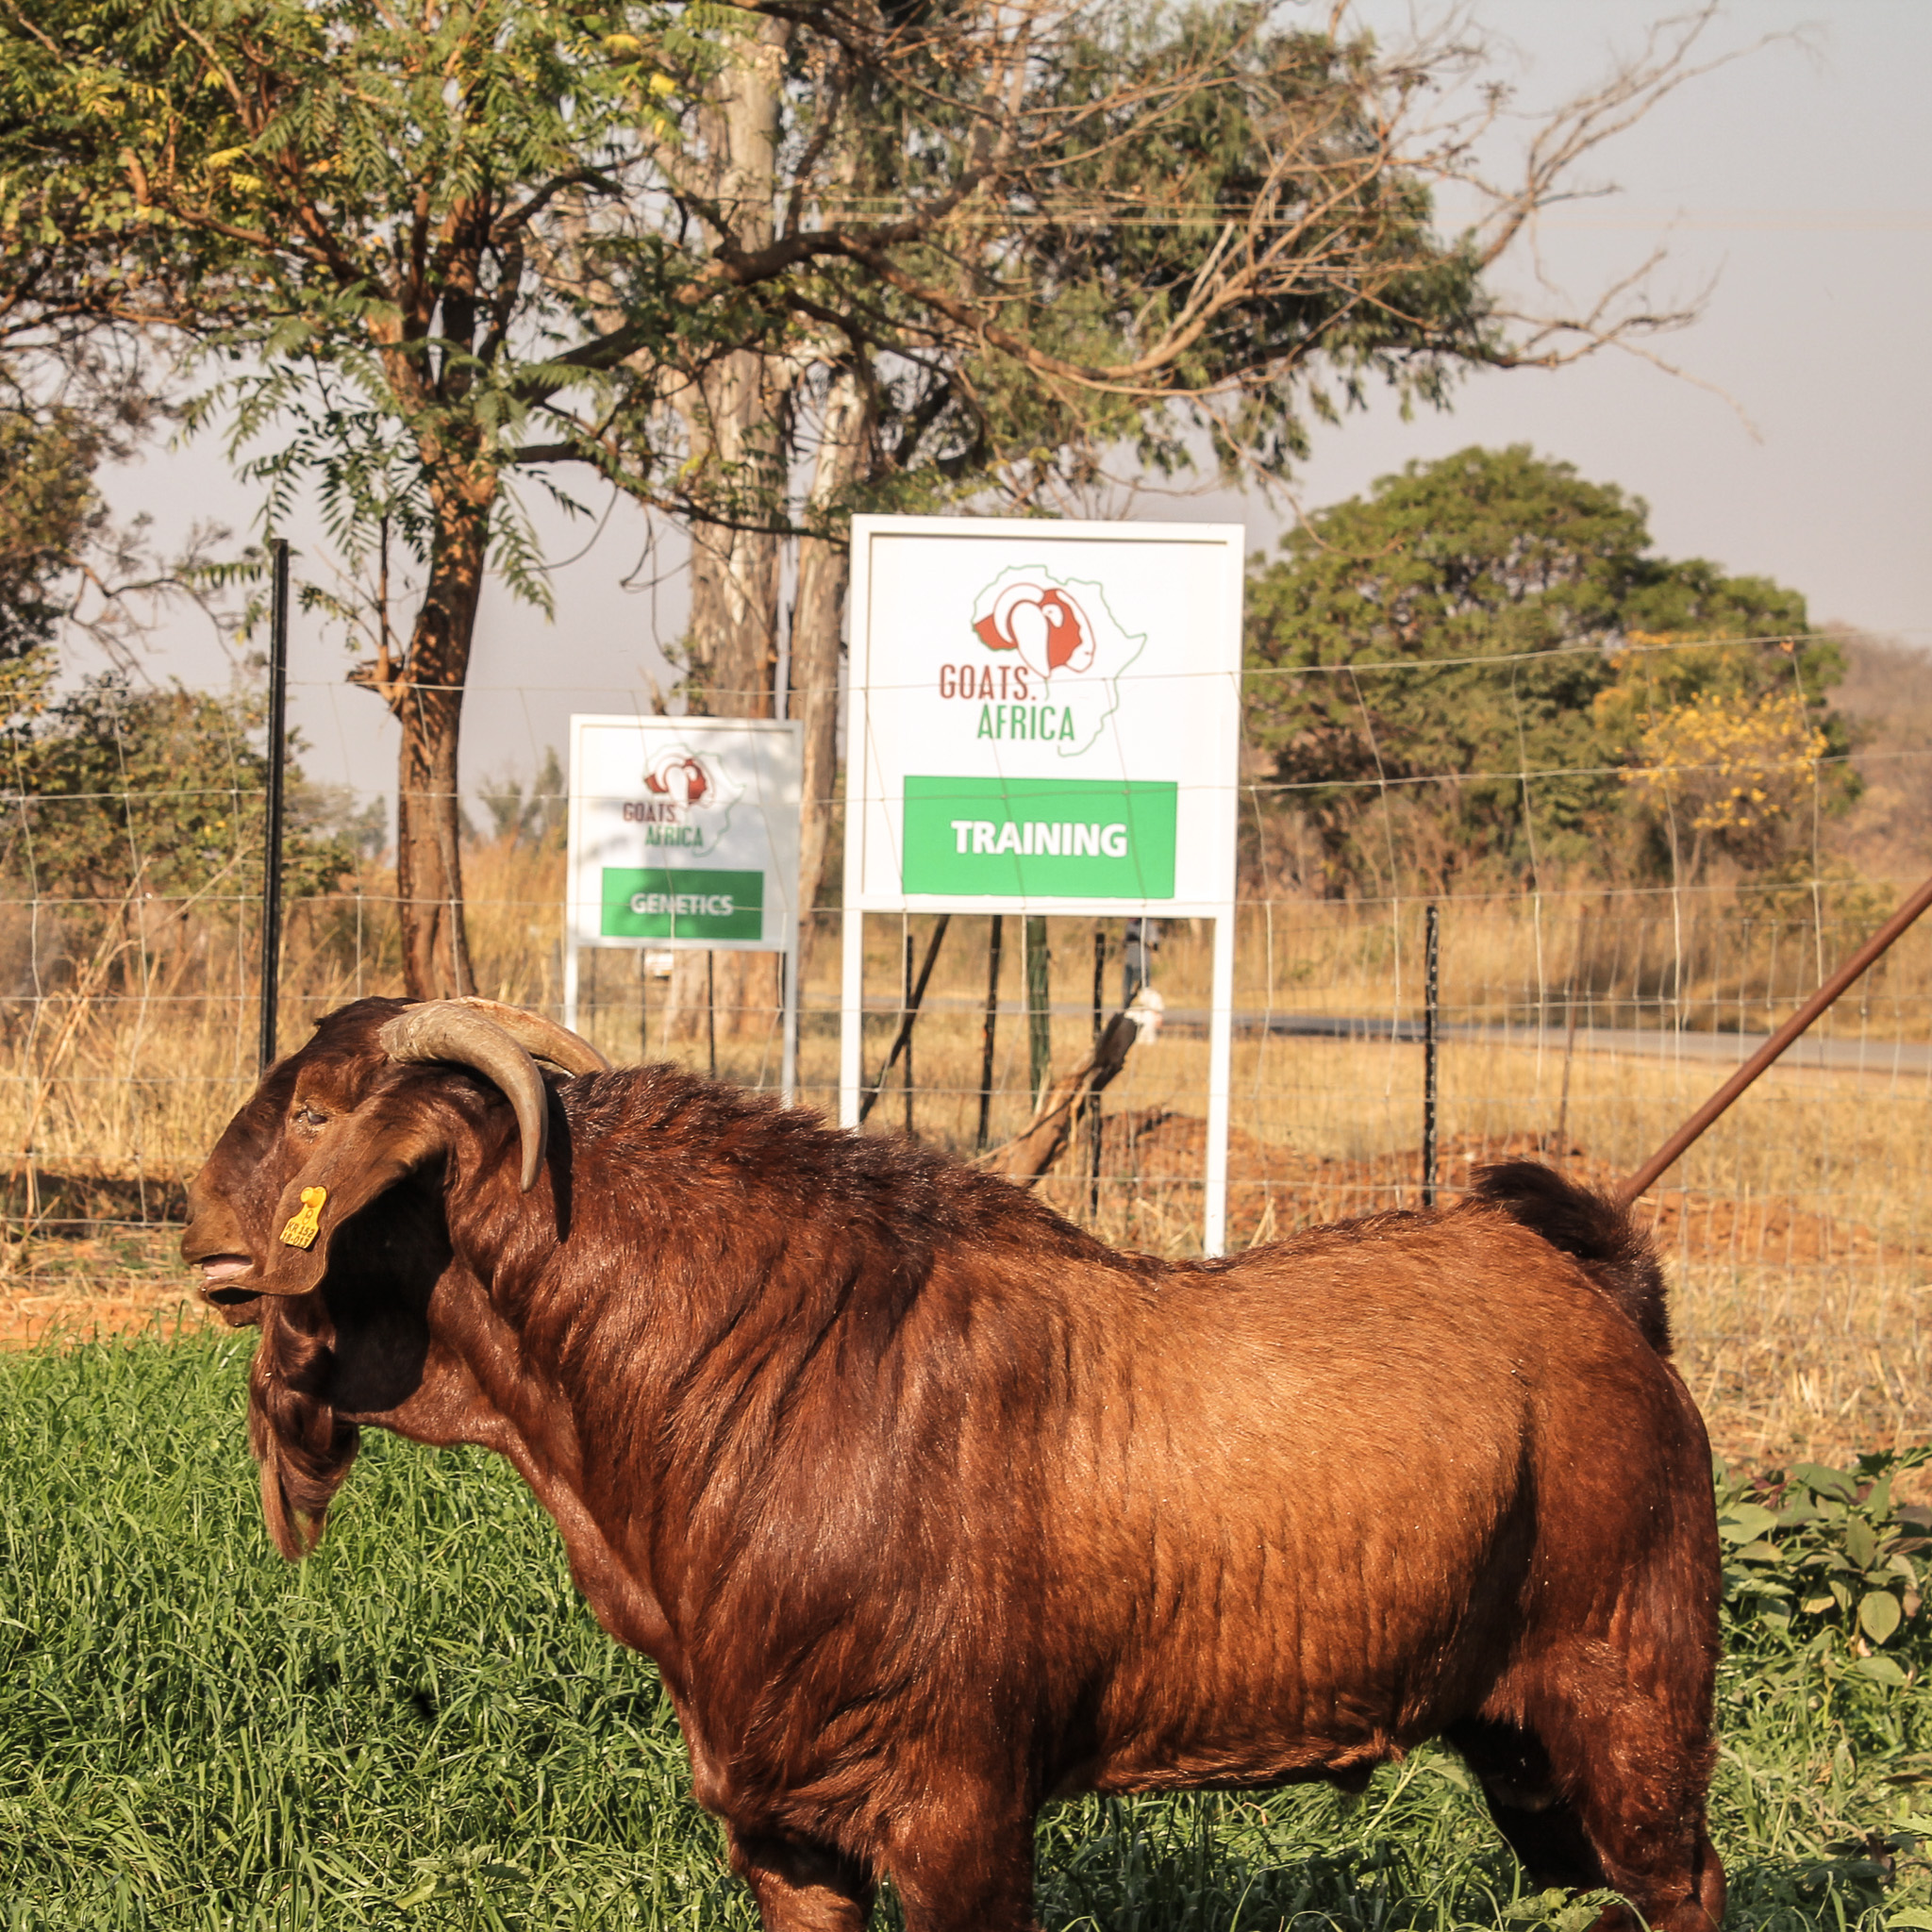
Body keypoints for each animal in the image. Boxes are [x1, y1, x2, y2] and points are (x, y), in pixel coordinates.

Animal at [182, 995, 1726, 1932]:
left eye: (316, 1115)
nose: (195, 1226)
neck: (753, 1377)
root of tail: (1603, 1290)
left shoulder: (958, 1813)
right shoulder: (785, 1827)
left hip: (1630, 1693)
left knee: (1686, 1880)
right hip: (1520, 1743)